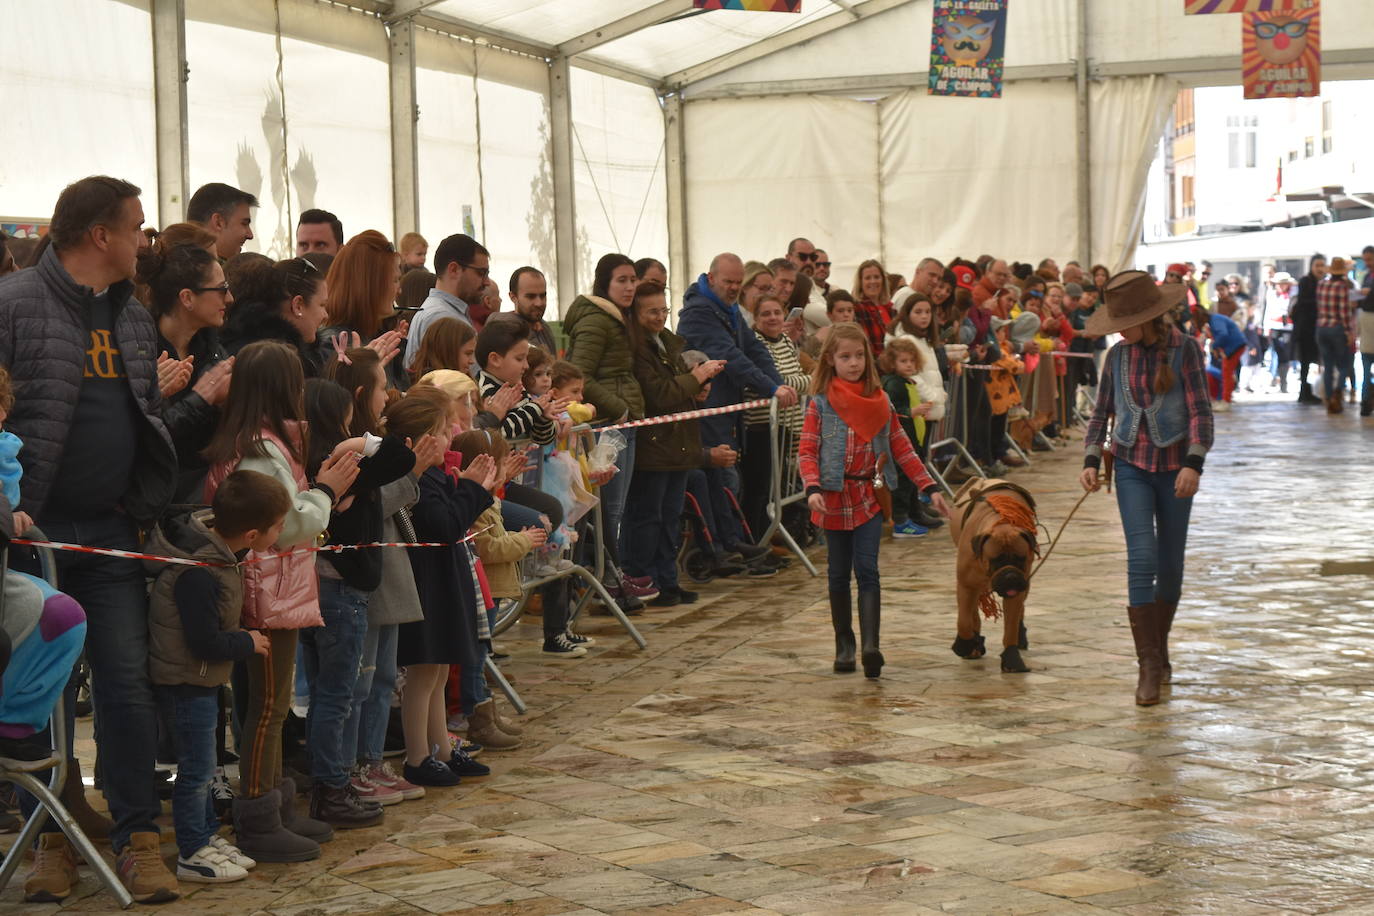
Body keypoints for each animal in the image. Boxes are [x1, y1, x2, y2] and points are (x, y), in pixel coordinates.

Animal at [950, 480, 1033, 672]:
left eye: (1020, 559)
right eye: (996, 560)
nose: (1010, 576)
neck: (1000, 524)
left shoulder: (1018, 590)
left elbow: (1010, 627)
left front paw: (1012, 659)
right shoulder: (966, 585)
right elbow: (963, 621)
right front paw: (965, 645)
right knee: (971, 613)